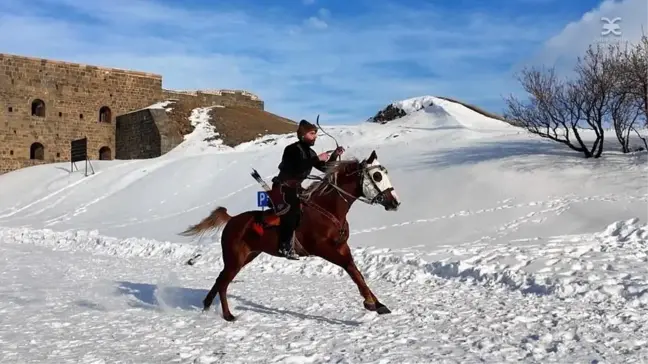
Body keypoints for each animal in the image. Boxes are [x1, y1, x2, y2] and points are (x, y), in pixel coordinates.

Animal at [180, 149, 402, 322]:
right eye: (377, 176)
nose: (395, 202)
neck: (328, 208)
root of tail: (233, 219)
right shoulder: (322, 249)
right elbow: (349, 268)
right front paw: (371, 302)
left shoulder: (341, 246)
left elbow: (356, 272)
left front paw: (377, 304)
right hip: (235, 259)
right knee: (224, 283)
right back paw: (227, 315)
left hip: (247, 256)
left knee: (220, 279)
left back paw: (207, 304)